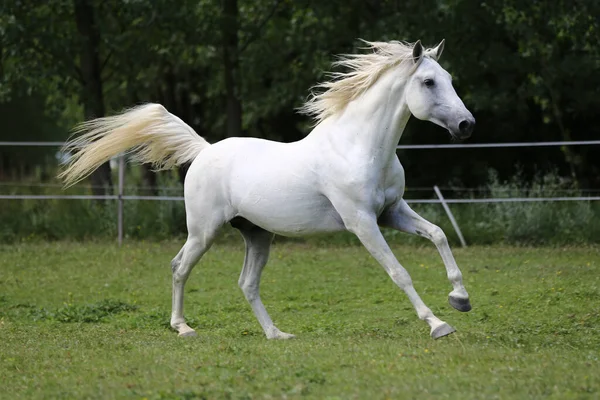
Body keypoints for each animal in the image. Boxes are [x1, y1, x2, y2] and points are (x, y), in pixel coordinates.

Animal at [59, 39, 474, 340]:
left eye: (450, 78)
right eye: (428, 82)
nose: (466, 125)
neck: (357, 147)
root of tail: (204, 150)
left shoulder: (392, 212)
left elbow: (438, 234)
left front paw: (460, 298)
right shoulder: (362, 222)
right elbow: (399, 272)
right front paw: (438, 324)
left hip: (257, 234)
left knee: (246, 283)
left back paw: (277, 335)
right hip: (204, 231)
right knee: (180, 267)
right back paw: (183, 328)